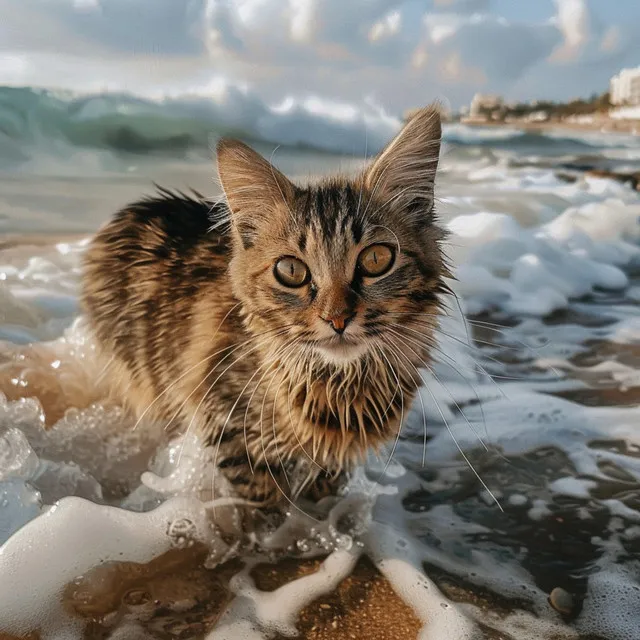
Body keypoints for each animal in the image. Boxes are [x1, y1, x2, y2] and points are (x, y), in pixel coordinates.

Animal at [80, 105, 448, 504]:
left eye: (377, 259)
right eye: (291, 271)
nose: (337, 318)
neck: (342, 388)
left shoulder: (335, 458)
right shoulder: (229, 425)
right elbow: (263, 502)